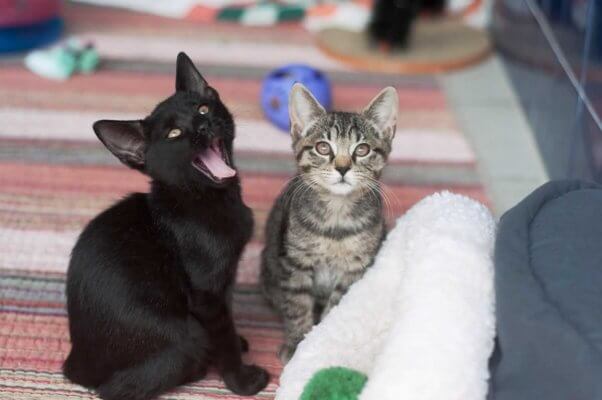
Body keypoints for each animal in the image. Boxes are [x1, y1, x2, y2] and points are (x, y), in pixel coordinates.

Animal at [62, 53, 268, 400]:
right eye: (173, 134)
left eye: (203, 108)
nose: (203, 125)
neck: (203, 198)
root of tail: (76, 363)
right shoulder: (206, 294)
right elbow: (222, 332)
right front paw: (240, 379)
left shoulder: (223, 283)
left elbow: (228, 318)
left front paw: (238, 342)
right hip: (185, 335)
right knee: (115, 390)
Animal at [258, 83, 396, 360]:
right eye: (323, 147)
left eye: (362, 150)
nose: (342, 168)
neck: (336, 218)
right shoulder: (295, 263)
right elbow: (298, 304)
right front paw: (297, 341)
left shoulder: (354, 269)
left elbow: (337, 305)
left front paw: (320, 342)